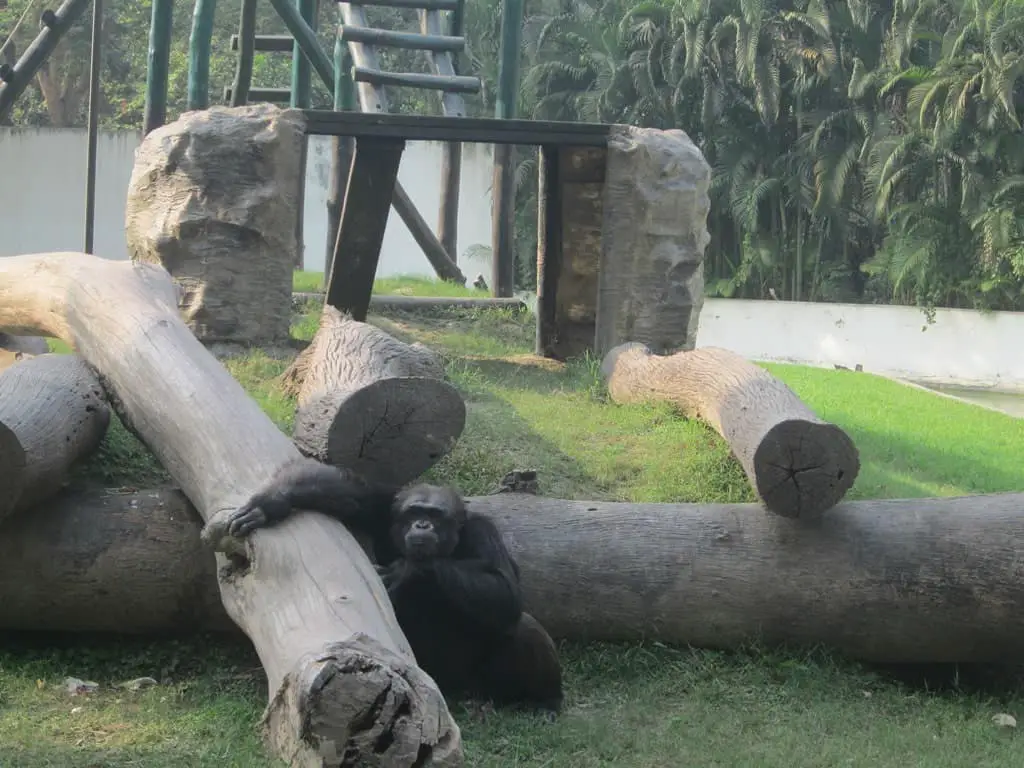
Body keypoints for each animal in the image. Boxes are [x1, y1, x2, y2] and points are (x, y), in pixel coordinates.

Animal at [222, 456, 569, 716]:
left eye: (435, 515)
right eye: (415, 511)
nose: (422, 525)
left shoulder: (485, 532)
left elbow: (505, 590)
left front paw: (407, 570)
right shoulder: (380, 506)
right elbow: (345, 486)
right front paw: (270, 503)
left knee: (525, 628)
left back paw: (546, 700)